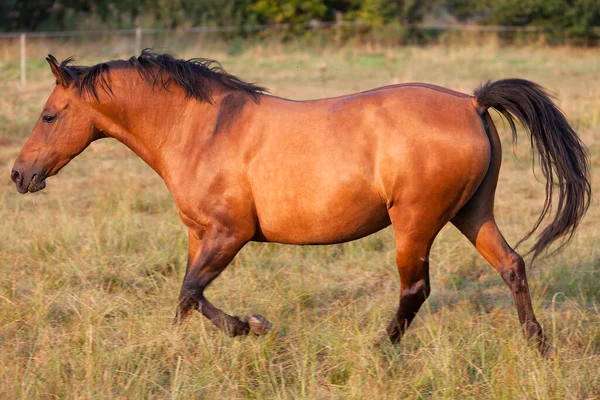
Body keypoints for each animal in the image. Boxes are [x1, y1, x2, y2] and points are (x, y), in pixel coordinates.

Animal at [11, 50, 588, 354]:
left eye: (48, 115)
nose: (19, 175)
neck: (201, 129)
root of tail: (472, 103)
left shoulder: (231, 233)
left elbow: (191, 291)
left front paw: (250, 326)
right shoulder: (199, 234)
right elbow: (184, 299)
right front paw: (175, 348)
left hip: (416, 221)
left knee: (415, 289)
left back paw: (380, 350)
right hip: (472, 213)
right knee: (512, 266)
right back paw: (537, 345)